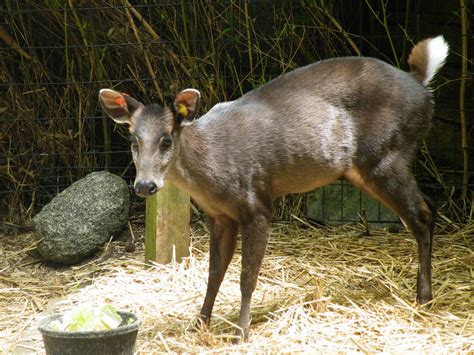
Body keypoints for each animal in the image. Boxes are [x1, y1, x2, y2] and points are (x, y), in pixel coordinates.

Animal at [99, 35, 448, 342]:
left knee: (423, 215)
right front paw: (199, 325)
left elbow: (246, 277)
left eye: (167, 140)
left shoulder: (257, 204)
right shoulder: (220, 216)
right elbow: (214, 273)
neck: (210, 167)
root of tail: (421, 85)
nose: (145, 185)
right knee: (426, 210)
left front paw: (240, 334)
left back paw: (424, 299)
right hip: (365, 169)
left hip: (386, 156)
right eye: (133, 140)